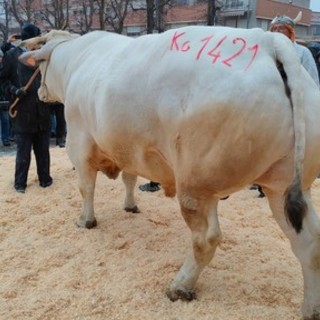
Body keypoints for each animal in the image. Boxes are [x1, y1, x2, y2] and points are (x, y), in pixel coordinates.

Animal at [20, 28, 320, 320]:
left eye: (41, 65)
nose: (39, 94)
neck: (76, 59)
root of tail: (269, 40)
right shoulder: (128, 148)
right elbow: (130, 178)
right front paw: (130, 205)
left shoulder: (79, 142)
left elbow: (86, 187)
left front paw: (85, 221)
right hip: (284, 186)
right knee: (310, 245)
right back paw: (310, 309)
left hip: (197, 185)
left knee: (206, 239)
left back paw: (180, 286)